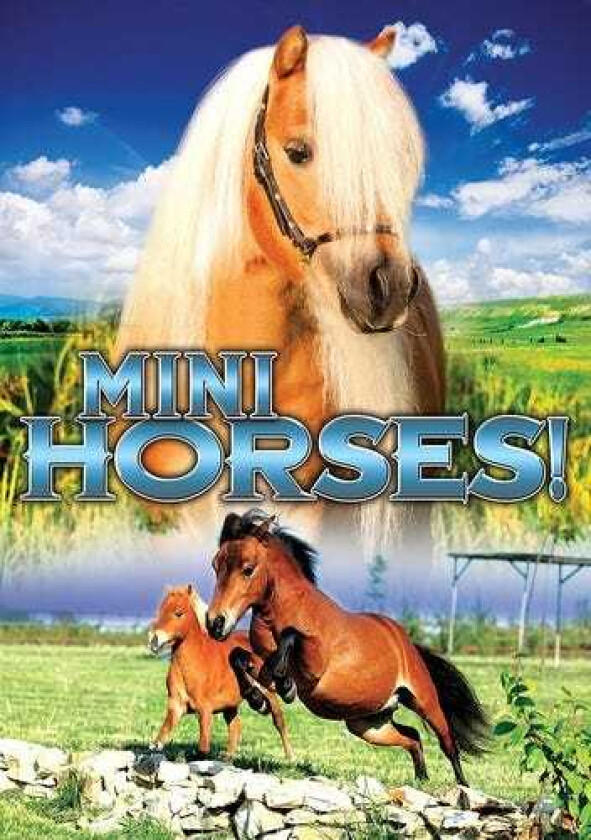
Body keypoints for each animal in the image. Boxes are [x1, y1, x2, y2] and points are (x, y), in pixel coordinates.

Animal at [148, 583, 293, 760]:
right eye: (160, 610)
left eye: (178, 613)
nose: (154, 641)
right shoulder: (176, 707)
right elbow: (160, 738)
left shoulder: (204, 711)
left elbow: (203, 748)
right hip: (230, 706)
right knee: (235, 726)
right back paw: (228, 757)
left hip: (269, 691)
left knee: (278, 720)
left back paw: (290, 756)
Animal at [206, 512, 489, 784]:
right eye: (216, 565)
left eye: (248, 569)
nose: (215, 623)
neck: (283, 611)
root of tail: (406, 643)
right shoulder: (261, 662)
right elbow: (238, 657)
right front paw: (258, 699)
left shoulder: (314, 667)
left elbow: (290, 637)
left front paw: (285, 686)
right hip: (369, 725)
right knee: (412, 736)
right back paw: (421, 779)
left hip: (425, 702)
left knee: (448, 743)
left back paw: (463, 788)